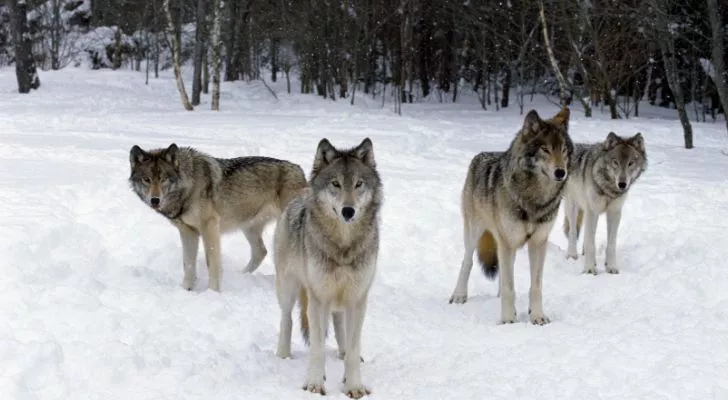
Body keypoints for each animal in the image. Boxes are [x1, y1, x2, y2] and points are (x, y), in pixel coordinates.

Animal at [128, 143, 308, 290]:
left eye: (164, 179)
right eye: (146, 179)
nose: (155, 200)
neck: (189, 186)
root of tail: (300, 171)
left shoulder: (209, 227)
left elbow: (212, 263)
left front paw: (212, 292)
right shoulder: (188, 232)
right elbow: (188, 264)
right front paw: (187, 290)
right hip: (249, 228)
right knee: (261, 252)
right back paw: (242, 275)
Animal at [272, 137, 384, 396]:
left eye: (358, 184)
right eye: (335, 184)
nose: (348, 211)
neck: (343, 246)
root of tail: (299, 194)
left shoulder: (357, 298)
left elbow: (353, 349)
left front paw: (354, 386)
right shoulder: (318, 298)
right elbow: (317, 347)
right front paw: (314, 383)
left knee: (339, 324)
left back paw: (341, 354)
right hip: (289, 288)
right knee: (287, 319)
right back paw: (283, 355)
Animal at [450, 108, 576, 324]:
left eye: (564, 150)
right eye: (545, 149)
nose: (561, 172)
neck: (535, 199)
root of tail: (480, 156)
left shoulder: (538, 242)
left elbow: (535, 286)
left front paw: (537, 316)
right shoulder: (507, 242)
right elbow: (510, 288)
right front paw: (508, 320)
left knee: (502, 272)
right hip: (476, 233)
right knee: (467, 261)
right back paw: (459, 295)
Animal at [564, 131, 648, 276]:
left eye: (631, 163)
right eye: (615, 162)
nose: (622, 184)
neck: (609, 188)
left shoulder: (614, 213)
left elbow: (611, 244)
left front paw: (611, 267)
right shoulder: (593, 211)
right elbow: (590, 243)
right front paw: (589, 269)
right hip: (573, 207)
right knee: (573, 232)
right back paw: (572, 255)